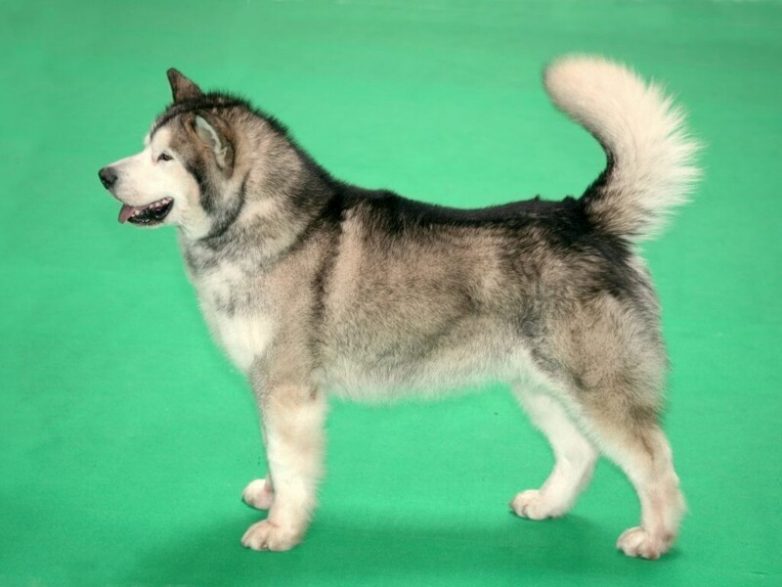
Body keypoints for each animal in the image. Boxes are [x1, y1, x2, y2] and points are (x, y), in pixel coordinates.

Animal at [98, 56, 699, 559]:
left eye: (164, 157)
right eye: (143, 147)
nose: (105, 174)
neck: (269, 227)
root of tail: (583, 217)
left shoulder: (288, 388)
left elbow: (290, 465)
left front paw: (282, 529)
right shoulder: (268, 385)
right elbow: (273, 455)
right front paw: (271, 497)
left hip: (594, 387)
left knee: (656, 463)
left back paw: (654, 538)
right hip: (538, 385)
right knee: (581, 452)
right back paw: (547, 504)